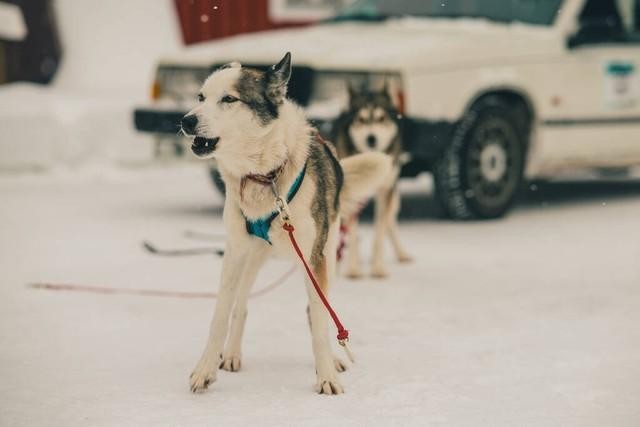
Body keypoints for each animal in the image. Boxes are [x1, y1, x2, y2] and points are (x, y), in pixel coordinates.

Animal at [178, 54, 392, 398]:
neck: (265, 176)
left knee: (318, 311)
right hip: (251, 259)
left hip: (327, 256)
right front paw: (205, 369)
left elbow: (318, 319)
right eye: (200, 97)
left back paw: (332, 359)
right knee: (241, 305)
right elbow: (221, 314)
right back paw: (232, 353)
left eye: (229, 99)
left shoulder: (315, 259)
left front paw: (326, 374)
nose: (186, 121)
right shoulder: (234, 253)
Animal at [332, 85, 412, 280]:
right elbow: (352, 236)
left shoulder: (385, 192)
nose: (371, 138)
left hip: (393, 198)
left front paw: (378, 268)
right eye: (360, 120)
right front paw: (353, 269)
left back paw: (401, 253)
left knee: (390, 223)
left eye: (381, 118)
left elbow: (379, 235)